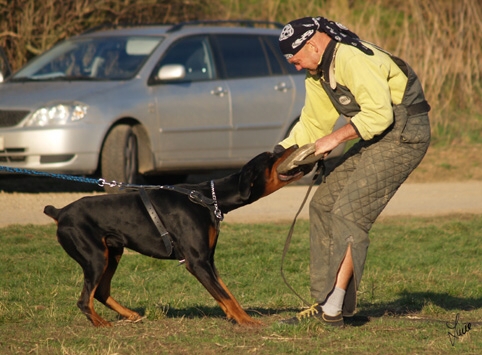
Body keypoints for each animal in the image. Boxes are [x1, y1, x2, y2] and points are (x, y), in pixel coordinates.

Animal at [45, 147, 312, 328]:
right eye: (270, 156)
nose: (289, 145)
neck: (209, 198)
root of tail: (60, 212)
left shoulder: (208, 260)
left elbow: (226, 293)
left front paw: (236, 316)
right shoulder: (197, 262)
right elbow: (225, 294)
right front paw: (247, 321)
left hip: (112, 253)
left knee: (100, 291)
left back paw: (130, 315)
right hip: (95, 257)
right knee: (85, 299)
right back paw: (102, 324)